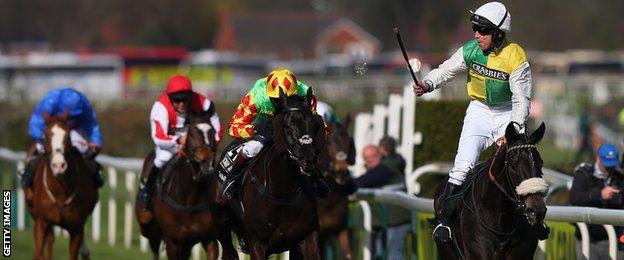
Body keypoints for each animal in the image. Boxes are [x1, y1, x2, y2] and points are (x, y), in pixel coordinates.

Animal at [24, 112, 98, 260]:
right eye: (45, 136)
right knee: (48, 239)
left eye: (67, 136)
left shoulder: (76, 227)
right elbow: (39, 251)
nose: (59, 165)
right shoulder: (42, 221)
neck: (60, 191)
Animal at [135, 109, 238, 260]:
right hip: (148, 227)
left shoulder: (209, 239)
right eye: (191, 134)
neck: (190, 198)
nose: (206, 161)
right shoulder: (173, 243)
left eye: (212, 132)